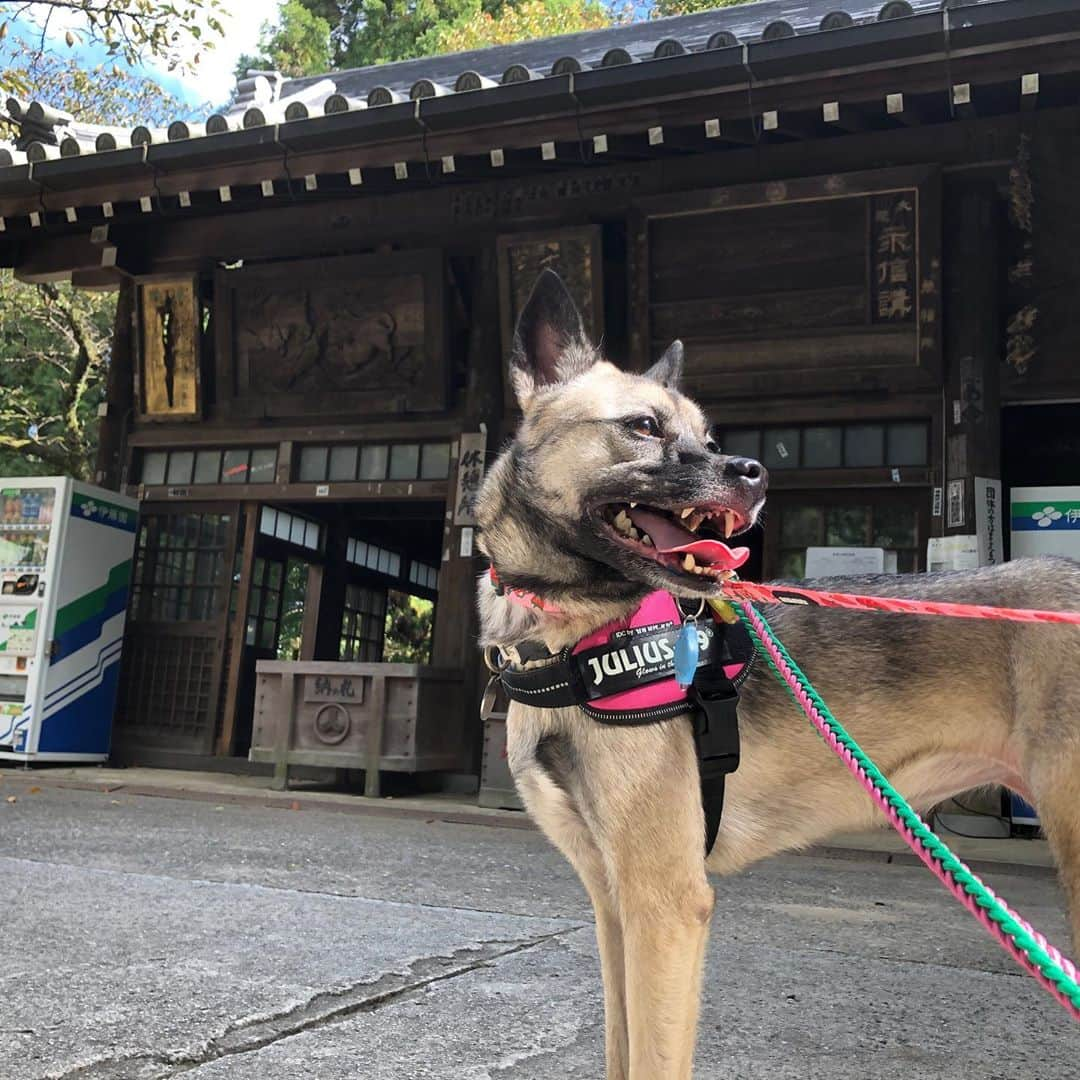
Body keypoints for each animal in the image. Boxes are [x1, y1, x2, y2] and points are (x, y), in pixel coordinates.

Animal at [475, 270, 1080, 1080]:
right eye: (643, 426)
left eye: (709, 440)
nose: (756, 473)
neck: (571, 629)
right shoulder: (613, 902)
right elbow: (621, 1049)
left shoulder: (665, 904)